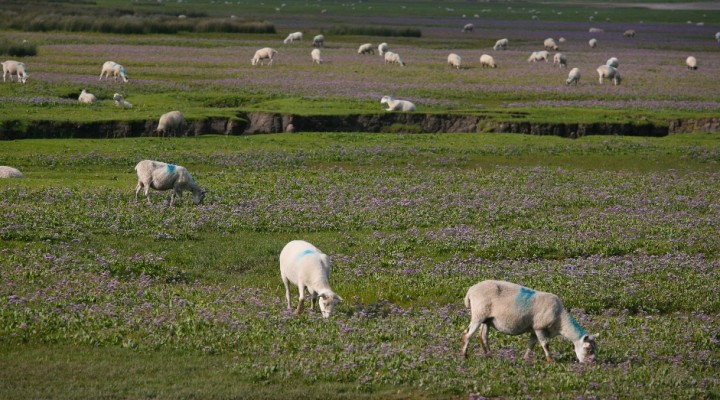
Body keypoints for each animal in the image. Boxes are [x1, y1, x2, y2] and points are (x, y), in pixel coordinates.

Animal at [458, 282, 600, 362]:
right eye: (588, 348)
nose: (591, 363)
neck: (561, 321)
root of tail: (470, 291)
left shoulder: (533, 329)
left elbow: (531, 344)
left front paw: (525, 358)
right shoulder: (539, 327)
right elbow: (545, 344)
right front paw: (550, 360)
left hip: (487, 319)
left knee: (482, 336)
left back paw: (489, 356)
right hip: (478, 314)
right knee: (467, 334)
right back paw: (464, 356)